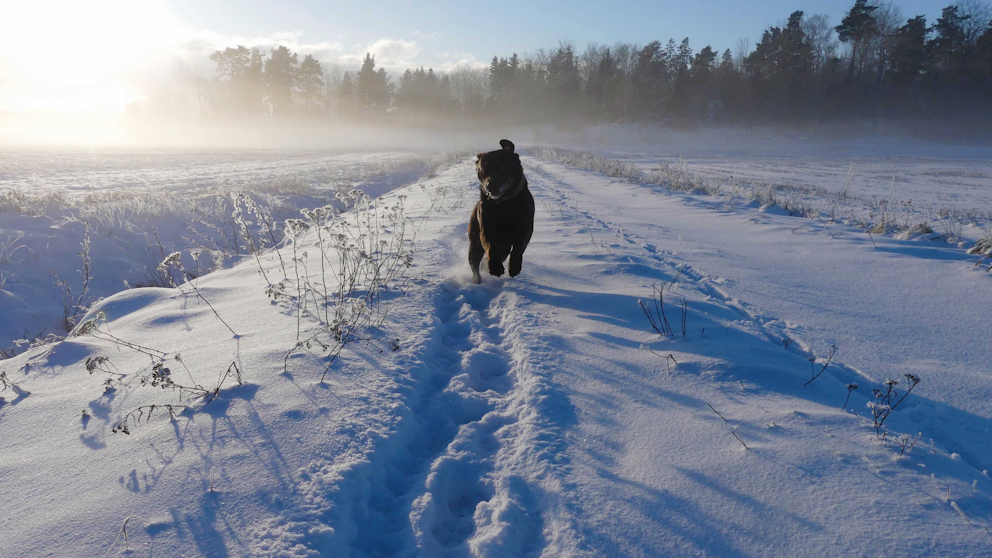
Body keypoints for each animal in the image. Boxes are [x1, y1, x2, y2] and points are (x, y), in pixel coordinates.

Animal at [468, 139, 535, 284]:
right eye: (484, 168)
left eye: (503, 167)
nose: (491, 184)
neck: (504, 204)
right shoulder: (485, 229)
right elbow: (490, 247)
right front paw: (495, 268)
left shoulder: (525, 228)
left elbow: (519, 248)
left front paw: (514, 267)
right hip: (474, 242)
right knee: (474, 262)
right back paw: (477, 279)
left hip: (504, 248)